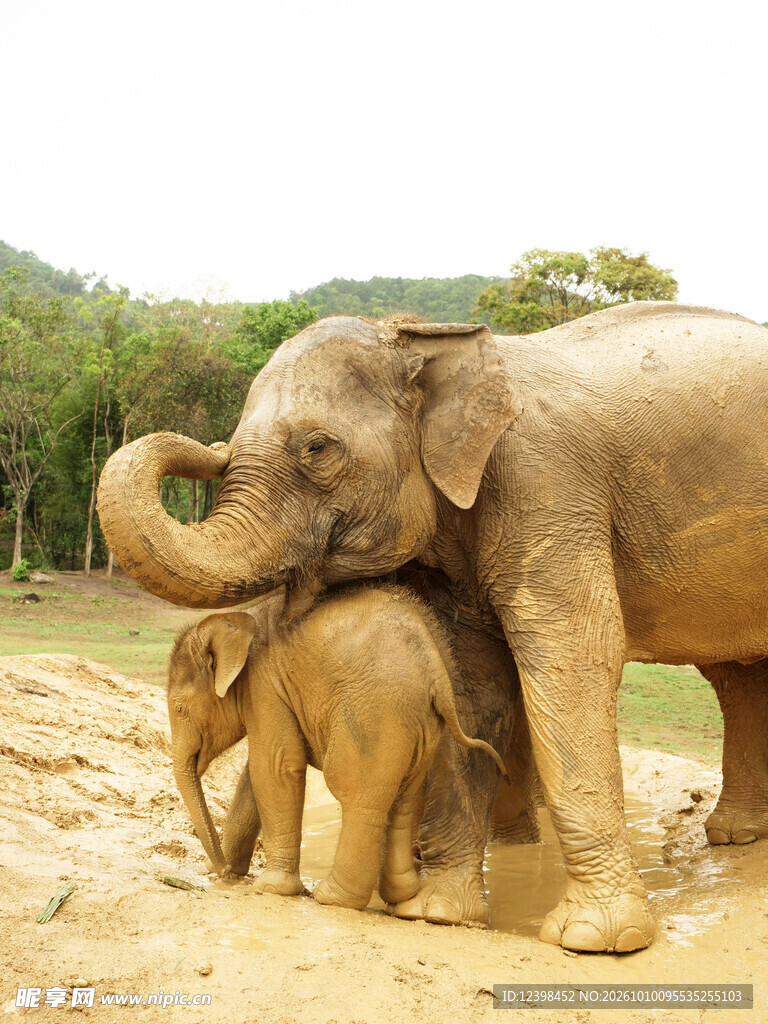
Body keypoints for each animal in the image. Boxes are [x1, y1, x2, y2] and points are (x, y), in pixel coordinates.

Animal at [166, 585, 507, 911]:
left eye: (180, 709)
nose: (222, 872)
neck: (239, 622)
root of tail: (437, 677)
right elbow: (257, 770)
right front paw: (223, 870)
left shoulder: (264, 685)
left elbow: (276, 764)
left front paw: (270, 888)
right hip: (421, 725)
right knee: (405, 796)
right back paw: (400, 895)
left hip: (375, 714)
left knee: (356, 793)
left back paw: (331, 897)